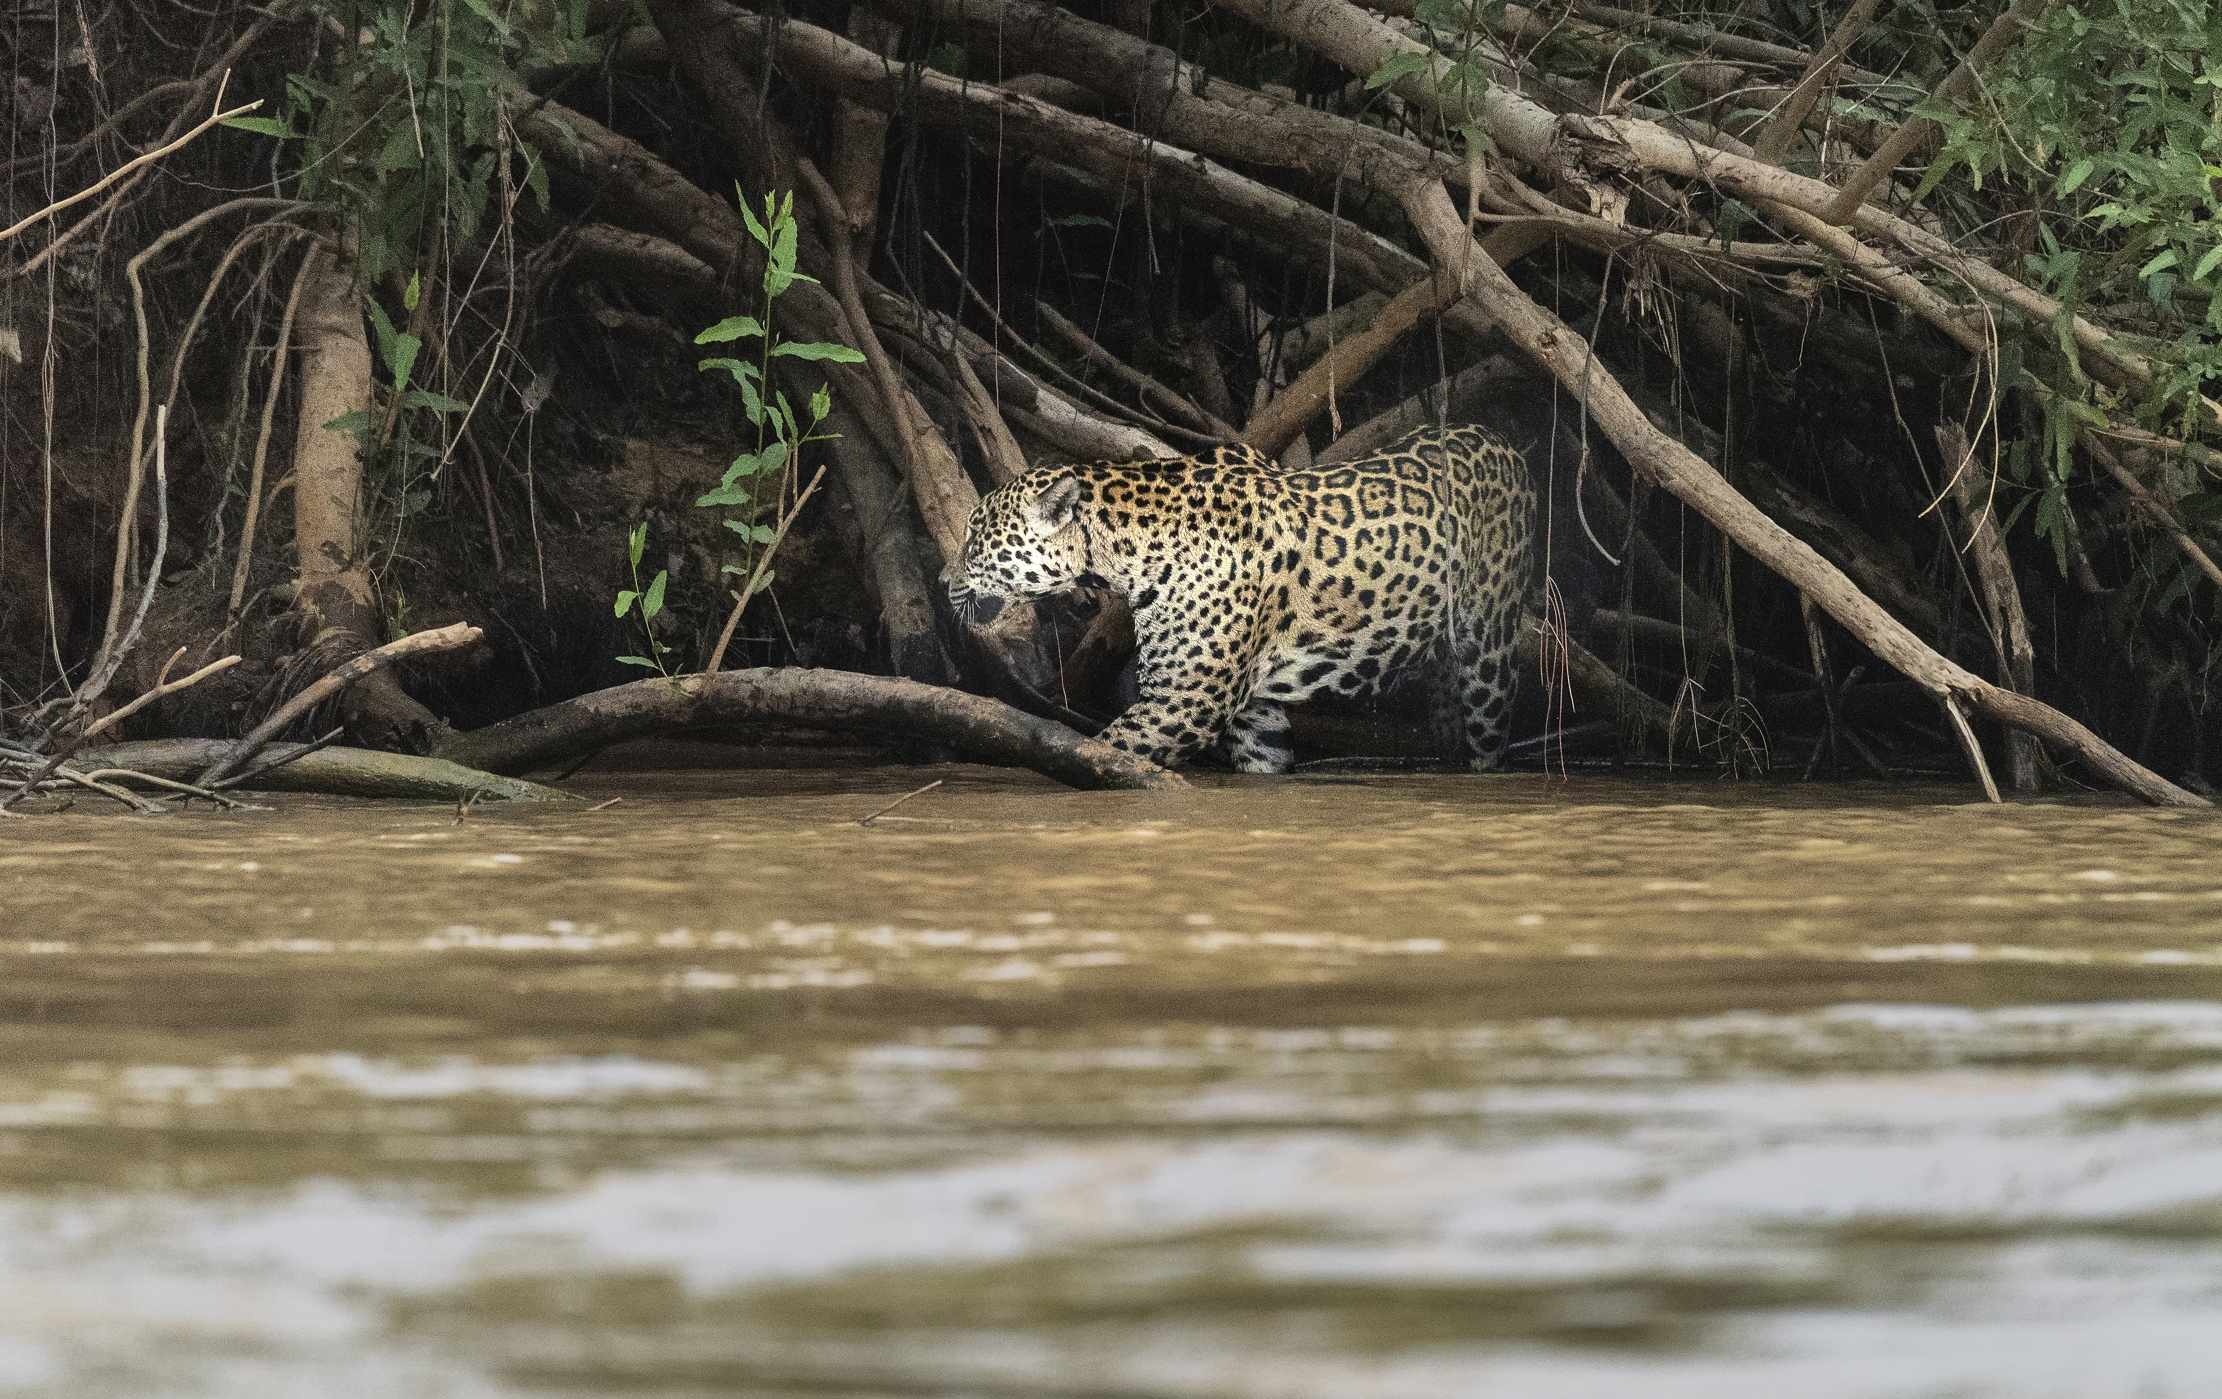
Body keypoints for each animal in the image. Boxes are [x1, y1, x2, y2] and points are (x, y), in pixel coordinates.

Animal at [946, 423, 1535, 773]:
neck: (1125, 552)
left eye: (974, 539)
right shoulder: (1255, 710)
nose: (940, 580)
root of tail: (1498, 437)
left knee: (1489, 737)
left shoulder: (1184, 703)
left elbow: (1104, 751)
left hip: (1490, 647)